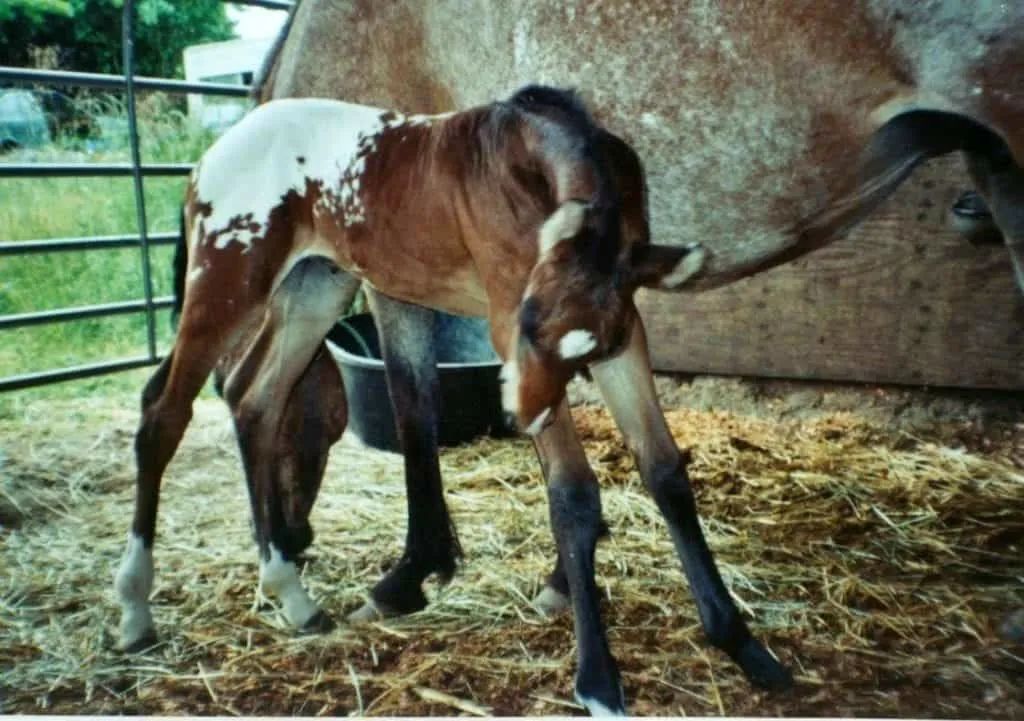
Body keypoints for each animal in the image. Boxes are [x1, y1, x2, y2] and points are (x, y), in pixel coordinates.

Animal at [112, 86, 782, 716]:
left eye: (587, 342)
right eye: (526, 324)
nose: (521, 412)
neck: (531, 151)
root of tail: (211, 154)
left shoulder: (624, 335)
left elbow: (664, 468)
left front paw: (744, 645)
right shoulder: (506, 314)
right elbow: (572, 492)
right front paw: (598, 683)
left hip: (315, 284)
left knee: (256, 397)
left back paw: (293, 597)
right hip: (228, 277)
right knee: (163, 411)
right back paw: (136, 610)